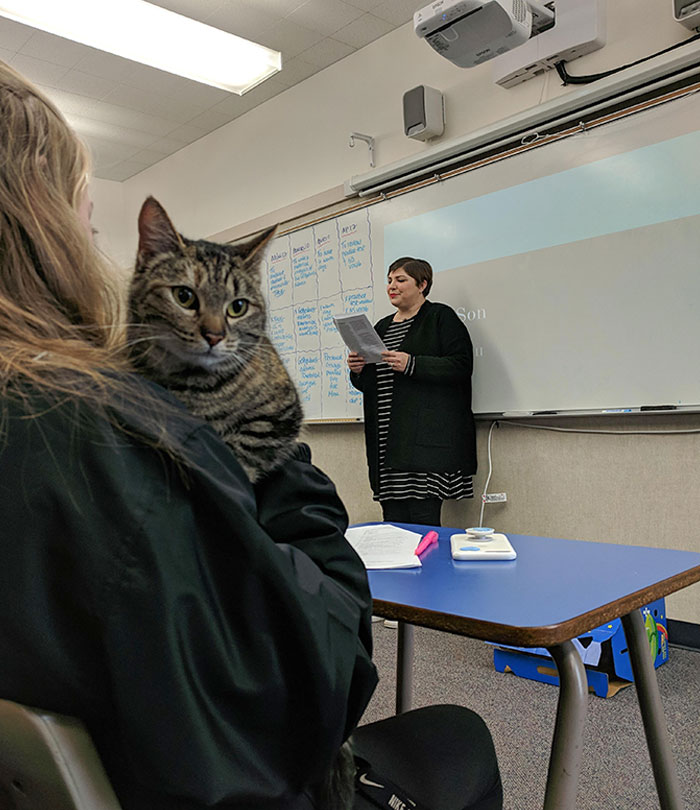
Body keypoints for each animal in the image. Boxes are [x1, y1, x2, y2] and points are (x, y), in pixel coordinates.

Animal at [127, 195, 302, 480]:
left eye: (238, 306)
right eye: (184, 296)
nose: (214, 336)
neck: (195, 385)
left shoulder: (282, 414)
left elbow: (246, 450)